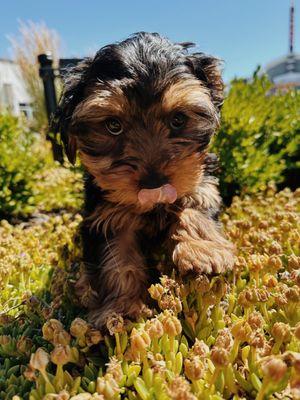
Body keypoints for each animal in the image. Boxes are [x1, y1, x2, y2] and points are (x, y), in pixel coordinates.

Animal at [54, 32, 237, 328]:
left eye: (178, 120)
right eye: (113, 126)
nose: (154, 185)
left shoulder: (202, 181)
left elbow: (193, 204)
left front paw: (202, 250)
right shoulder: (107, 215)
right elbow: (117, 257)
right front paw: (122, 308)